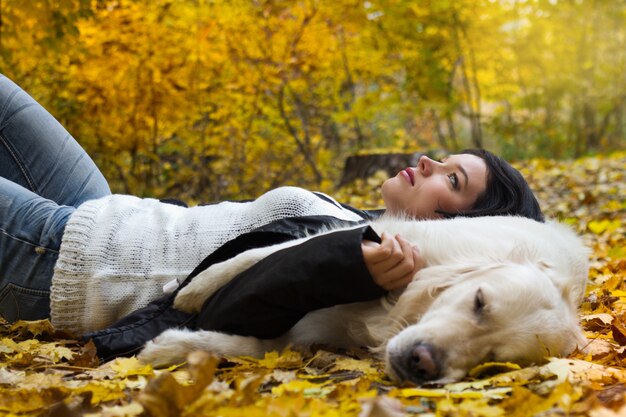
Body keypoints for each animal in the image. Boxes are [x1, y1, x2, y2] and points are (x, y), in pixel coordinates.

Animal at [136, 214, 584, 384]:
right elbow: (260, 256)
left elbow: (254, 348)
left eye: (492, 363)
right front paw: (195, 290)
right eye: (478, 302)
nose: (422, 363)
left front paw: (171, 347)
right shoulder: (383, 236)